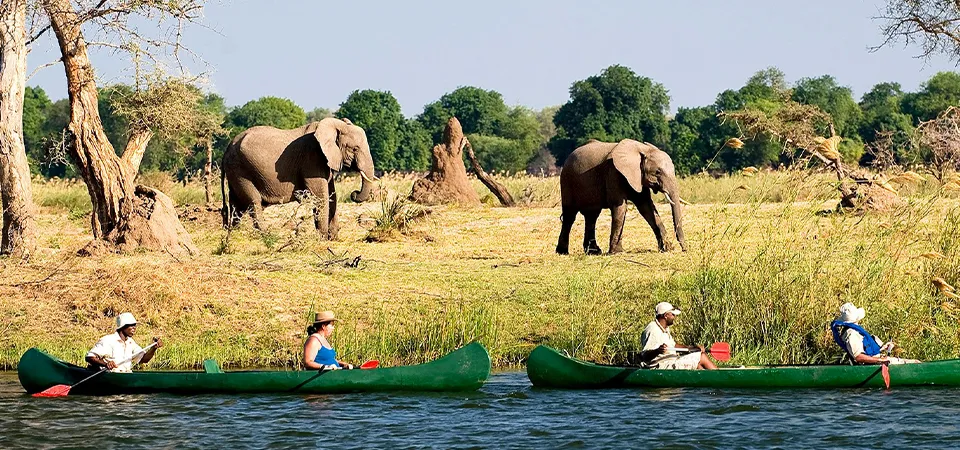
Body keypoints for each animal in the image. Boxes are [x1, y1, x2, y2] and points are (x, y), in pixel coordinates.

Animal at [223, 118, 376, 241]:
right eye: (355, 149)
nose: (354, 193)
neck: (335, 125)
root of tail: (228, 147)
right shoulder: (312, 158)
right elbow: (321, 196)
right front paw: (323, 239)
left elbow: (332, 195)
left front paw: (333, 238)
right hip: (241, 170)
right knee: (253, 201)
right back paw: (267, 236)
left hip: (235, 170)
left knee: (236, 204)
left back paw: (233, 234)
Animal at [556, 139, 684, 255]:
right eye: (658, 172)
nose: (684, 249)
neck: (642, 149)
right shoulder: (613, 173)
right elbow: (620, 207)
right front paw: (617, 252)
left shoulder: (638, 178)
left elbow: (647, 207)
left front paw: (667, 249)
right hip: (567, 180)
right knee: (570, 216)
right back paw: (562, 252)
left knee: (591, 216)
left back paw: (594, 252)